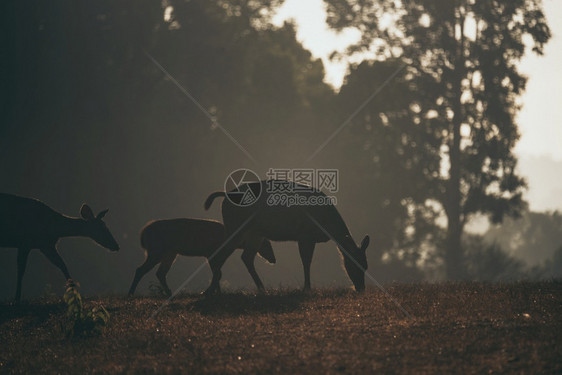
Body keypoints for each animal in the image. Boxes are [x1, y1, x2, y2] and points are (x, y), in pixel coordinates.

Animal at [127, 219, 276, 298]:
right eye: (267, 244)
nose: (273, 259)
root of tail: (143, 234)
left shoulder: (212, 255)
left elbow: (217, 273)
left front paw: (217, 292)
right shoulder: (210, 253)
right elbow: (217, 273)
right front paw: (211, 292)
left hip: (170, 253)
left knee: (160, 273)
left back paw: (169, 293)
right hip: (156, 250)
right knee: (141, 269)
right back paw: (130, 293)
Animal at [203, 181, 370, 296]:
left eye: (366, 266)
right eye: (354, 265)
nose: (361, 288)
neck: (327, 225)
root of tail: (225, 196)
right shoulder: (305, 235)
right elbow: (306, 261)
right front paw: (307, 288)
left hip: (255, 233)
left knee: (246, 257)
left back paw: (261, 288)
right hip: (237, 227)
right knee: (219, 254)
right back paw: (209, 290)